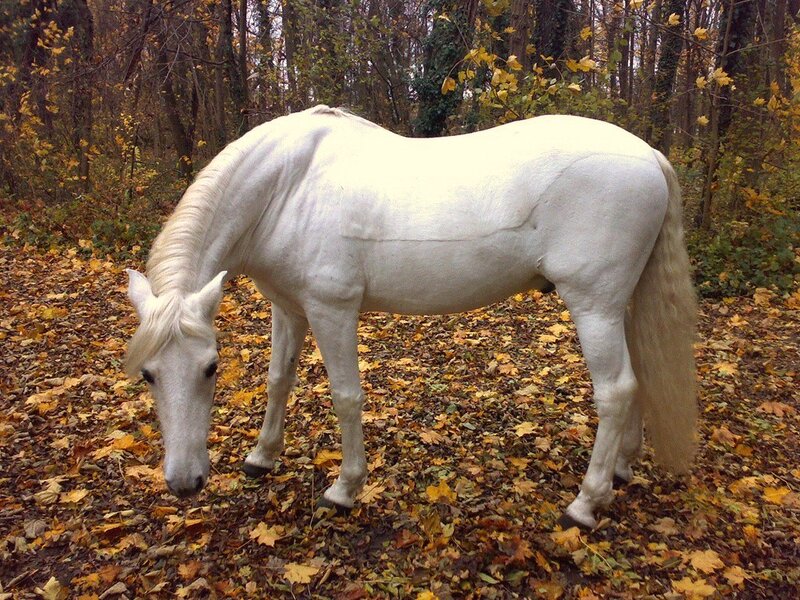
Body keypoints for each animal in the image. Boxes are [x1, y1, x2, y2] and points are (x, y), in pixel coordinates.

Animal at [125, 105, 697, 529]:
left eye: (210, 368)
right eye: (148, 375)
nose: (184, 483)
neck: (287, 187)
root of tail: (648, 155)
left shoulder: (331, 310)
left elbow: (346, 396)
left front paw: (344, 488)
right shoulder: (287, 307)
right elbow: (278, 381)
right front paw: (262, 458)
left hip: (592, 305)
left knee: (616, 390)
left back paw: (585, 502)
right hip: (618, 305)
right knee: (638, 377)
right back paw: (621, 469)